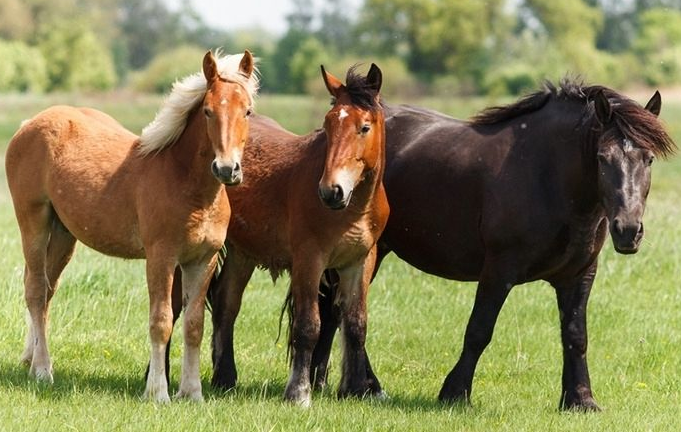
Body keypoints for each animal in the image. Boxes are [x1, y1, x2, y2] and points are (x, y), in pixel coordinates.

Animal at [4, 51, 258, 404]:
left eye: (247, 110)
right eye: (208, 111)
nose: (226, 169)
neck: (188, 184)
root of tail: (28, 124)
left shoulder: (202, 261)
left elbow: (194, 325)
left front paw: (192, 392)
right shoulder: (161, 258)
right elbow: (161, 321)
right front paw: (158, 392)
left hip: (64, 235)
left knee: (45, 290)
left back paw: (30, 361)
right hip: (34, 223)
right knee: (36, 290)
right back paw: (43, 370)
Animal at [211, 80, 676, 408]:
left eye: (648, 159)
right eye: (602, 158)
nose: (628, 230)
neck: (545, 176)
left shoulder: (579, 276)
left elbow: (576, 336)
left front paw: (580, 400)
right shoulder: (499, 271)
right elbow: (479, 330)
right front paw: (454, 392)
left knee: (334, 312)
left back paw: (329, 383)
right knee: (337, 313)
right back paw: (359, 386)